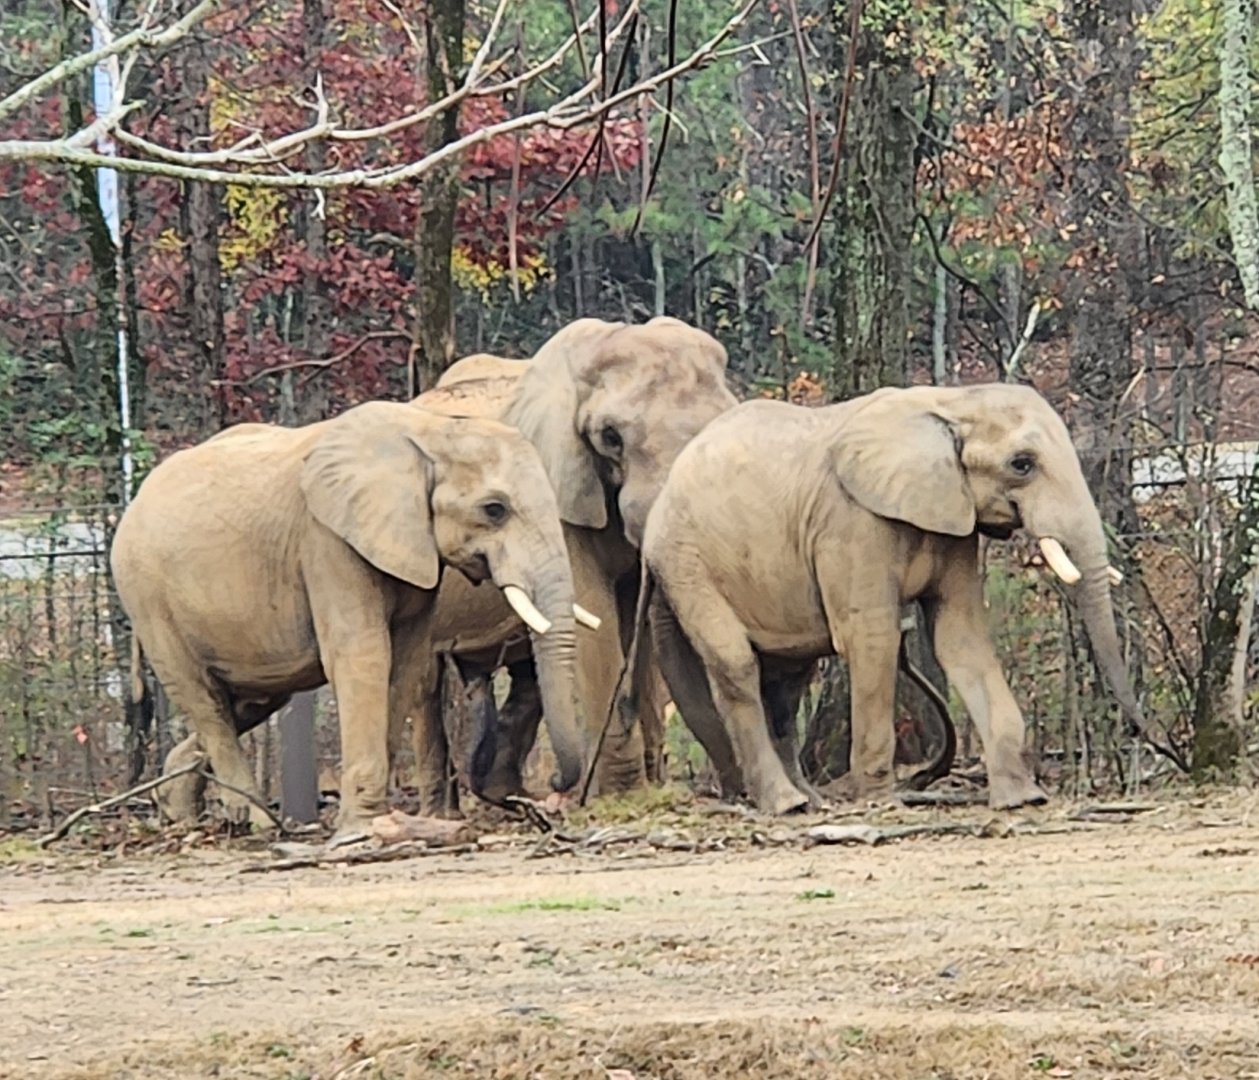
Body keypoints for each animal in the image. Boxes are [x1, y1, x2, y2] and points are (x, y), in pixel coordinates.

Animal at [110, 400, 589, 835]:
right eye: (495, 509)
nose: (552, 789)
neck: (431, 432)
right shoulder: (326, 541)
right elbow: (364, 655)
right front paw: (362, 827)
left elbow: (406, 662)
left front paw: (377, 817)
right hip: (147, 597)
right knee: (205, 699)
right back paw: (260, 823)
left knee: (248, 700)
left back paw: (180, 812)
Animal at [407, 315, 738, 812]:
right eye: (610, 437)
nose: (560, 786)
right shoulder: (557, 487)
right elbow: (595, 618)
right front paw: (621, 794)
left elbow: (631, 620)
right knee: (426, 681)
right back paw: (445, 811)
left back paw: (506, 795)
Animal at [635, 382, 1159, 814]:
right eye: (1022, 464)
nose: (1145, 734)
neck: (951, 402)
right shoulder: (851, 523)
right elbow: (872, 639)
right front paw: (881, 802)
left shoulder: (953, 523)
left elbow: (961, 639)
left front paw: (1023, 798)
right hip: (685, 562)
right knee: (738, 664)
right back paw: (787, 805)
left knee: (786, 678)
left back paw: (811, 802)